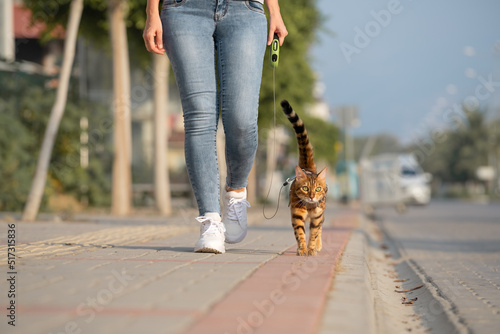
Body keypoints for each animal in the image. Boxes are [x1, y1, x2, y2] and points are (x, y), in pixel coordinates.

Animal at [282, 99, 328, 256]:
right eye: (305, 188)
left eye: (318, 188)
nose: (312, 196)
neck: (309, 206)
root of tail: (307, 168)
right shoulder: (297, 215)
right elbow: (300, 233)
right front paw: (302, 249)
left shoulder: (317, 217)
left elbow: (314, 233)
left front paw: (312, 248)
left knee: (320, 228)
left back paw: (319, 245)